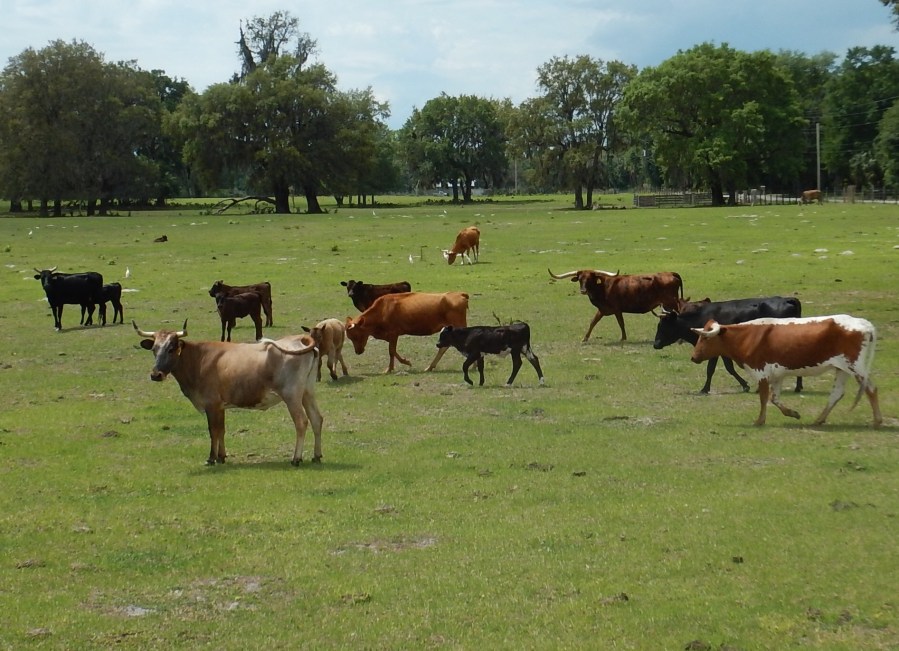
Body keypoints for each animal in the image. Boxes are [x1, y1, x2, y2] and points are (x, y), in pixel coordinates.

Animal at [133, 320, 324, 465]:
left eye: (171, 348)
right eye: (154, 349)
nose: (156, 375)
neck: (198, 359)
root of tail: (300, 339)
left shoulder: (211, 404)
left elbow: (213, 430)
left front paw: (211, 458)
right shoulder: (220, 406)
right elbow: (221, 429)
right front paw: (221, 456)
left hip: (292, 395)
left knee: (301, 422)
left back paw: (296, 458)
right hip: (308, 392)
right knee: (317, 419)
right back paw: (316, 456)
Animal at [548, 268, 683, 342]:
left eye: (590, 279)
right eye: (580, 279)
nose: (583, 290)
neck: (603, 287)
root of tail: (671, 273)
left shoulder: (617, 310)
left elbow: (621, 323)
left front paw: (623, 338)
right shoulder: (602, 310)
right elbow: (593, 322)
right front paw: (585, 338)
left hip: (671, 302)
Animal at [653, 296, 803, 394]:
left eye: (663, 326)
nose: (655, 344)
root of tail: (787, 299)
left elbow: (714, 369)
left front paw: (704, 389)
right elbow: (727, 367)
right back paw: (797, 386)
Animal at [690, 316, 881, 428]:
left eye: (705, 338)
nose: (693, 357)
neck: (746, 336)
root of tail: (865, 324)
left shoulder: (761, 372)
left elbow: (763, 398)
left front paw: (760, 421)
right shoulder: (777, 375)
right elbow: (774, 399)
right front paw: (793, 413)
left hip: (856, 367)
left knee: (871, 389)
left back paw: (877, 421)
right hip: (842, 369)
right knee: (837, 394)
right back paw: (819, 420)